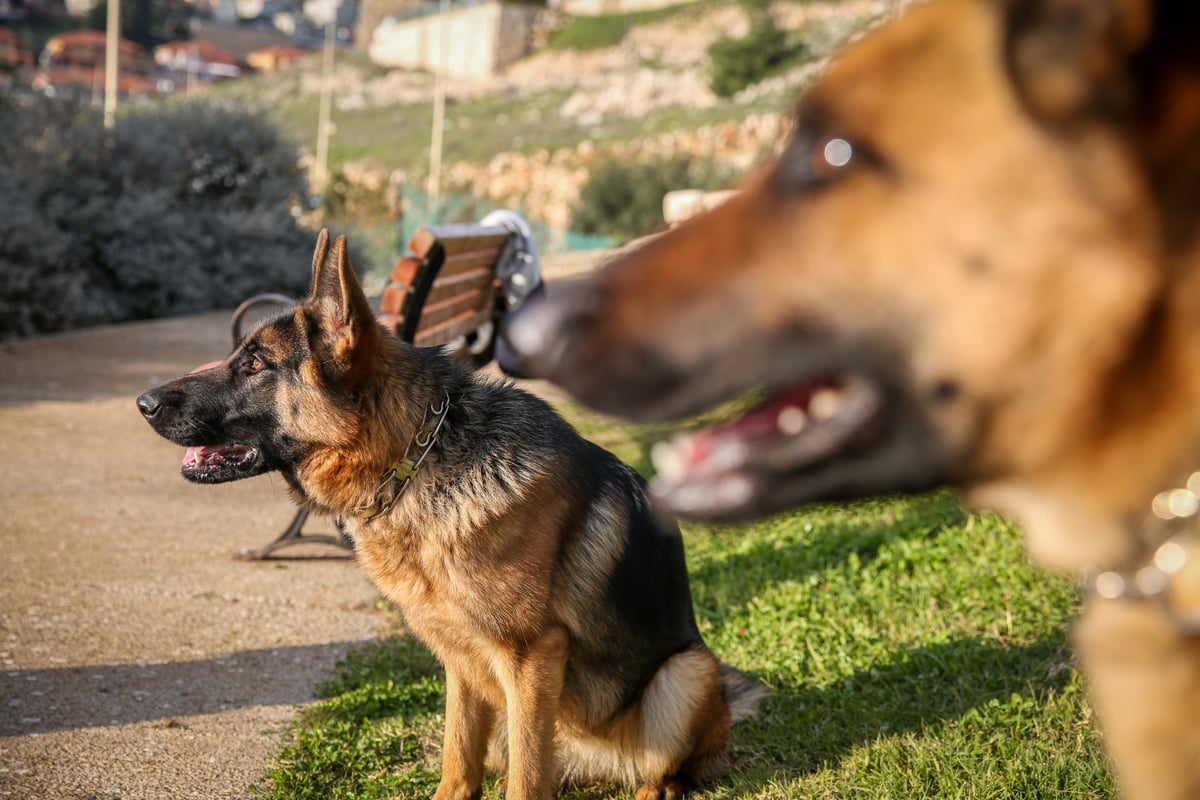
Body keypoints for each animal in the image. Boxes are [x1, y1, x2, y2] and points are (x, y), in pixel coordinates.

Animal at [136, 231, 763, 800]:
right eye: (239, 356)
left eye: (255, 364)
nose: (143, 403)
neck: (418, 460)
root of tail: (599, 760)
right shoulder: (461, 659)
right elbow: (459, 755)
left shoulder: (530, 656)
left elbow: (525, 785)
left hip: (685, 674)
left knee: (674, 766)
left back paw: (659, 786)